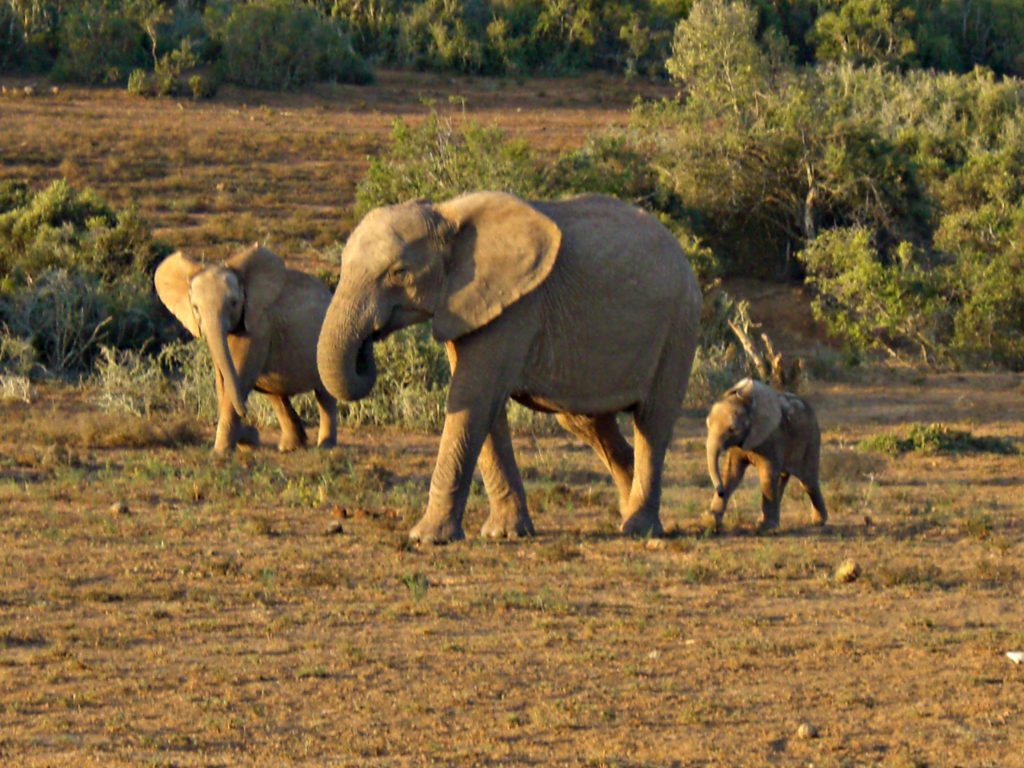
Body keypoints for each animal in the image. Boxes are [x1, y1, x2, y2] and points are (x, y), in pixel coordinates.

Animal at [155, 244, 338, 453]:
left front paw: (220, 453)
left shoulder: (258, 329)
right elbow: (224, 380)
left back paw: (326, 446)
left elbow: (240, 378)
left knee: (324, 394)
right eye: (195, 308)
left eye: (234, 303)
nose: (252, 431)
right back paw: (290, 446)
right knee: (274, 393)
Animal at [316, 191, 702, 543]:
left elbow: (473, 397)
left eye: (398, 273)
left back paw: (640, 529)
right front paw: (504, 534)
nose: (368, 342)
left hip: (679, 325)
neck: (447, 214)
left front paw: (426, 538)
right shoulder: (469, 303)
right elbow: (482, 406)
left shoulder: (514, 304)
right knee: (586, 421)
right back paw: (627, 517)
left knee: (653, 422)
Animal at [704, 377, 827, 533]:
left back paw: (818, 522)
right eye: (707, 424)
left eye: (732, 429)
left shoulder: (771, 437)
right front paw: (710, 520)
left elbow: (767, 473)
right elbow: (732, 472)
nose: (720, 492)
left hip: (811, 439)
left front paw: (765, 527)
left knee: (808, 481)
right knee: (783, 477)